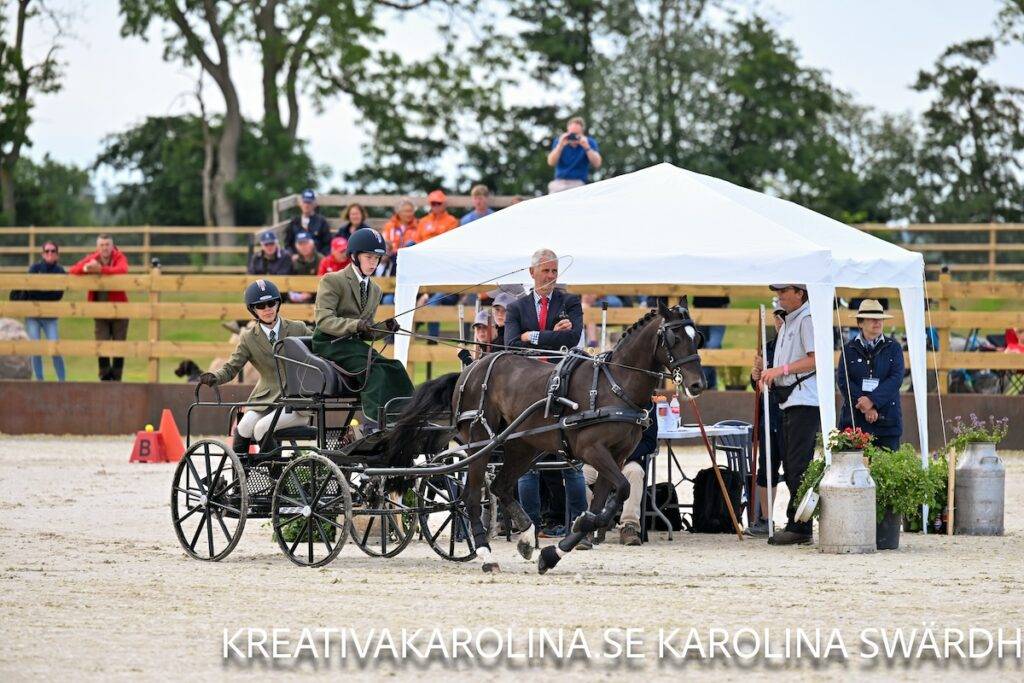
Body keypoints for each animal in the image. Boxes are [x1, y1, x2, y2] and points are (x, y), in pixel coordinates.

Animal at [388, 298, 706, 574]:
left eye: (698, 337)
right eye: (674, 337)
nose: (697, 384)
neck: (614, 386)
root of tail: (468, 371)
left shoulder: (617, 456)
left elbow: (607, 500)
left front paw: (559, 547)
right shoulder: (593, 451)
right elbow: (623, 489)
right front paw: (575, 529)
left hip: (521, 446)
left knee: (501, 486)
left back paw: (528, 537)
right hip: (481, 443)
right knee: (470, 497)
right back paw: (486, 554)